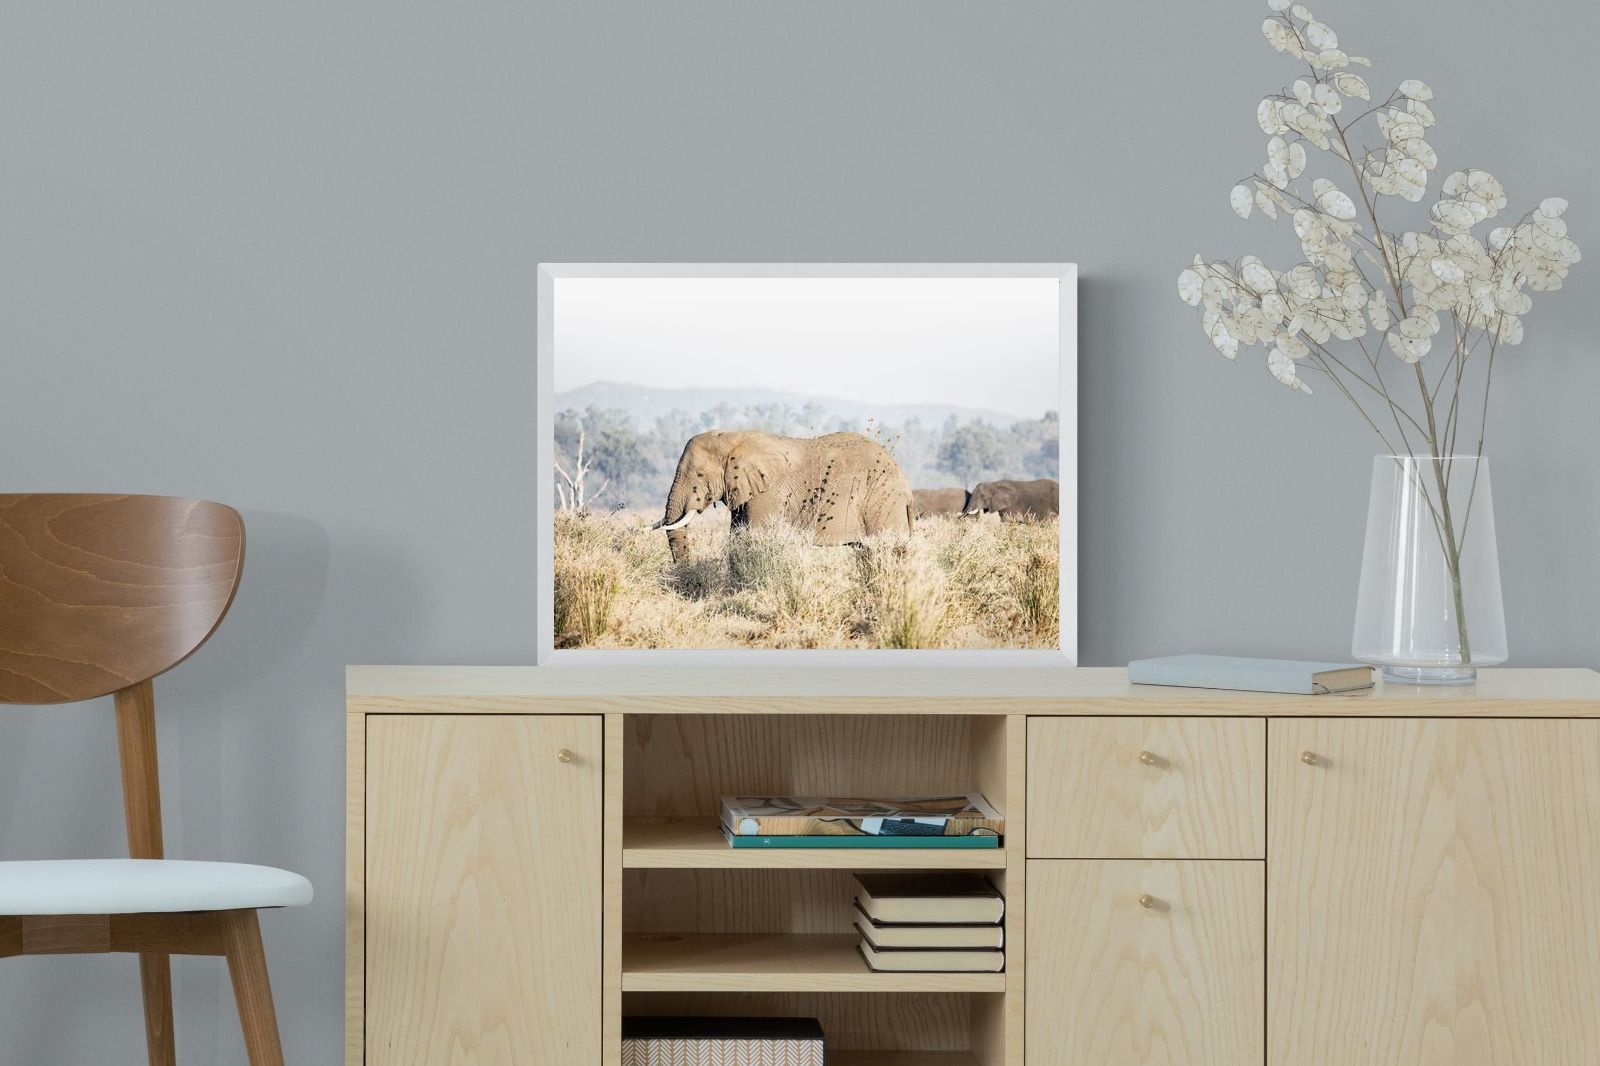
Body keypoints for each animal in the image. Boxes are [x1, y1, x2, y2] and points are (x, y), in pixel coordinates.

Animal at [655, 430, 913, 563]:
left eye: (699, 475)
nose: (686, 577)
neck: (732, 437)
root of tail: (905, 484)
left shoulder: (768, 492)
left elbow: (755, 536)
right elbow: (738, 536)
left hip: (883, 500)